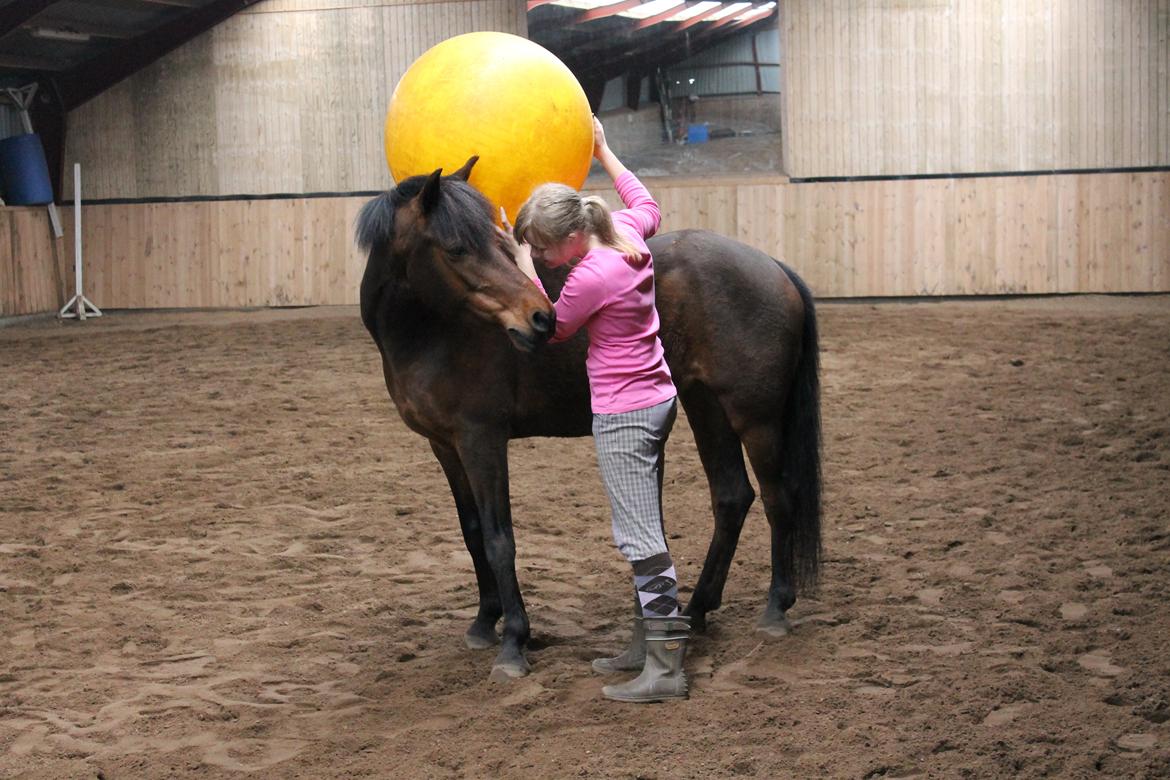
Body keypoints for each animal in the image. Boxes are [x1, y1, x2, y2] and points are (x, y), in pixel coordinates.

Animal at [355, 160, 823, 682]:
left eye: (497, 243)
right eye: (457, 248)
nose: (540, 319)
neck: (434, 333)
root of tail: (773, 267)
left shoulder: (482, 441)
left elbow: (499, 539)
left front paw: (513, 642)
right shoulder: (445, 446)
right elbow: (472, 532)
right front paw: (482, 623)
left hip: (754, 419)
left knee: (778, 498)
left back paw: (775, 609)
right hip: (707, 408)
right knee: (732, 497)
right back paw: (697, 609)